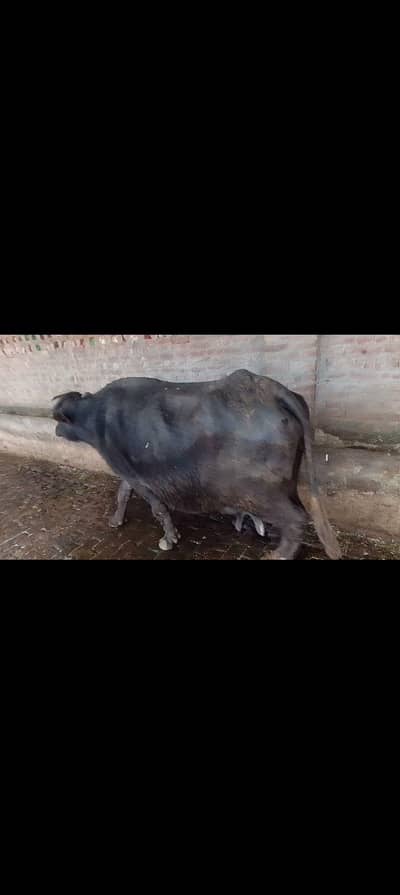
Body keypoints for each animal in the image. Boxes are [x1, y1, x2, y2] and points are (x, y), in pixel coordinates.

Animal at [52, 369, 341, 560]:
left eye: (59, 418)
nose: (55, 429)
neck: (97, 418)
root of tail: (269, 389)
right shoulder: (128, 472)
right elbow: (122, 494)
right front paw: (116, 521)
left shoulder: (136, 476)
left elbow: (158, 508)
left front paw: (169, 539)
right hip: (287, 481)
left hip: (260, 491)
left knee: (297, 517)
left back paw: (278, 554)